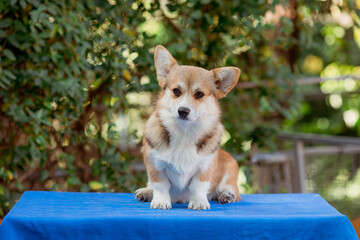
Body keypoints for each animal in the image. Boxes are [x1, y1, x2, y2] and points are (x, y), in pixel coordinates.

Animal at [136, 45, 242, 210]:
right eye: (176, 91)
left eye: (199, 94)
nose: (183, 111)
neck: (184, 132)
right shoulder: (155, 164)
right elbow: (160, 185)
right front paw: (160, 201)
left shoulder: (204, 167)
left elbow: (198, 186)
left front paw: (198, 202)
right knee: (151, 186)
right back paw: (146, 192)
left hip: (229, 173)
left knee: (234, 192)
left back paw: (227, 195)